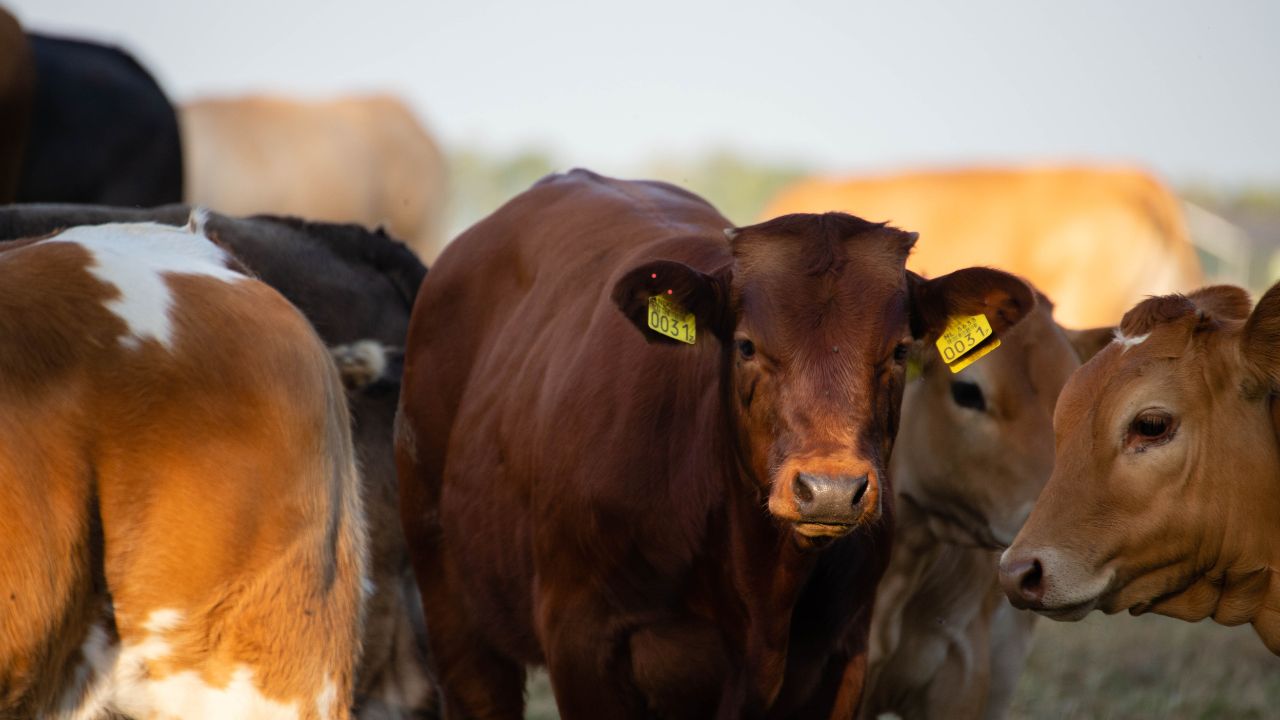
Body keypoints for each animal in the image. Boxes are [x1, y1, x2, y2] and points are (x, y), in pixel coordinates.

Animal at [395, 169, 1035, 718]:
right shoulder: (583, 643)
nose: (830, 489)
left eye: (901, 350)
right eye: (746, 345)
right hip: (454, 611)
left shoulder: (844, 655)